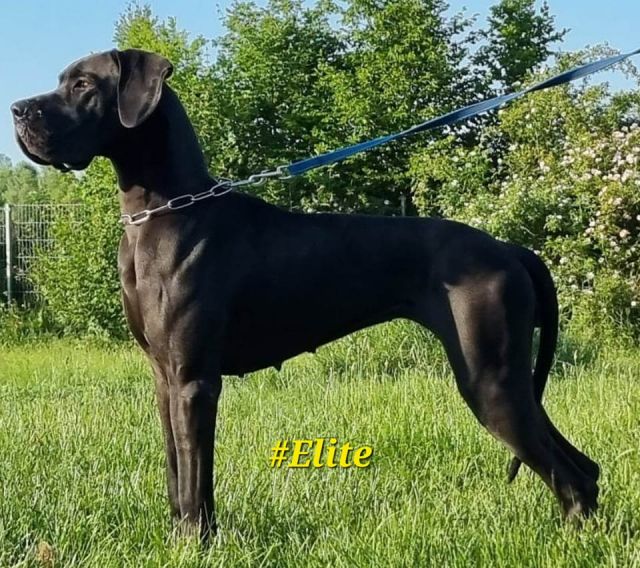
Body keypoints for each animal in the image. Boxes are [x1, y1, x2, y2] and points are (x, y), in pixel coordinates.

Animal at [12, 49, 600, 538]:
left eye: (84, 84)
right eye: (62, 80)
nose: (17, 109)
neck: (162, 212)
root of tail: (510, 248)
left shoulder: (194, 381)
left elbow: (197, 477)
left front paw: (196, 544)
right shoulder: (165, 378)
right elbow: (177, 472)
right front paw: (178, 537)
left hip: (488, 378)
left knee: (569, 475)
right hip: (511, 381)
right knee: (583, 467)